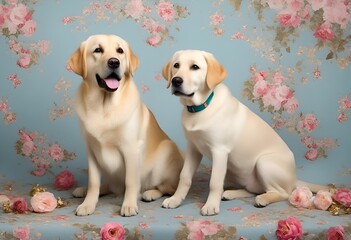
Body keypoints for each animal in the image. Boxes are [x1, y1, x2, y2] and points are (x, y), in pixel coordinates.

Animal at [68, 34, 184, 217]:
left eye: (120, 51)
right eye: (98, 50)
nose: (114, 62)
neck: (104, 106)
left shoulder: (131, 148)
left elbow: (131, 181)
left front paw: (129, 205)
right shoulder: (91, 151)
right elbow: (94, 182)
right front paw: (88, 204)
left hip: (165, 152)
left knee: (166, 187)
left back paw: (149, 193)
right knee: (110, 186)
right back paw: (84, 190)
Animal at [161, 49, 328, 216]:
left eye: (195, 67)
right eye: (176, 65)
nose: (176, 81)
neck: (201, 107)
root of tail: (294, 178)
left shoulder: (219, 151)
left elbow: (214, 182)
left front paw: (211, 205)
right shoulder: (193, 148)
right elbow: (184, 176)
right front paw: (175, 199)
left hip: (263, 162)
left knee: (283, 193)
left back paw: (263, 199)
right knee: (255, 189)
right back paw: (231, 193)